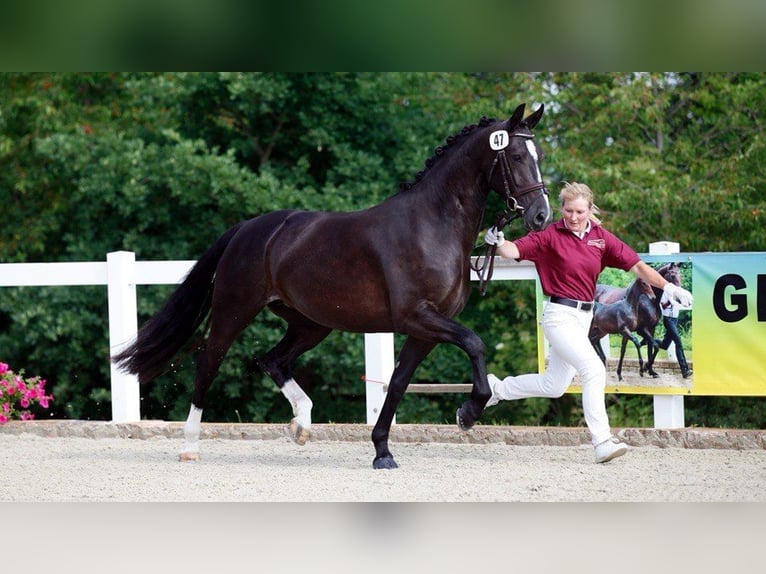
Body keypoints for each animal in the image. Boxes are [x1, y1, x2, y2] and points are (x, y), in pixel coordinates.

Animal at [112, 104, 552, 472]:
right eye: (516, 157)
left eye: (539, 156)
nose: (541, 215)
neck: (432, 225)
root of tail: (248, 229)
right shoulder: (419, 317)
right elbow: (475, 344)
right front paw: (468, 412)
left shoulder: (424, 330)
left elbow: (397, 383)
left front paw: (382, 451)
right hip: (233, 311)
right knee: (209, 362)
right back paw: (191, 445)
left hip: (311, 323)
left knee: (272, 360)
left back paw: (301, 425)